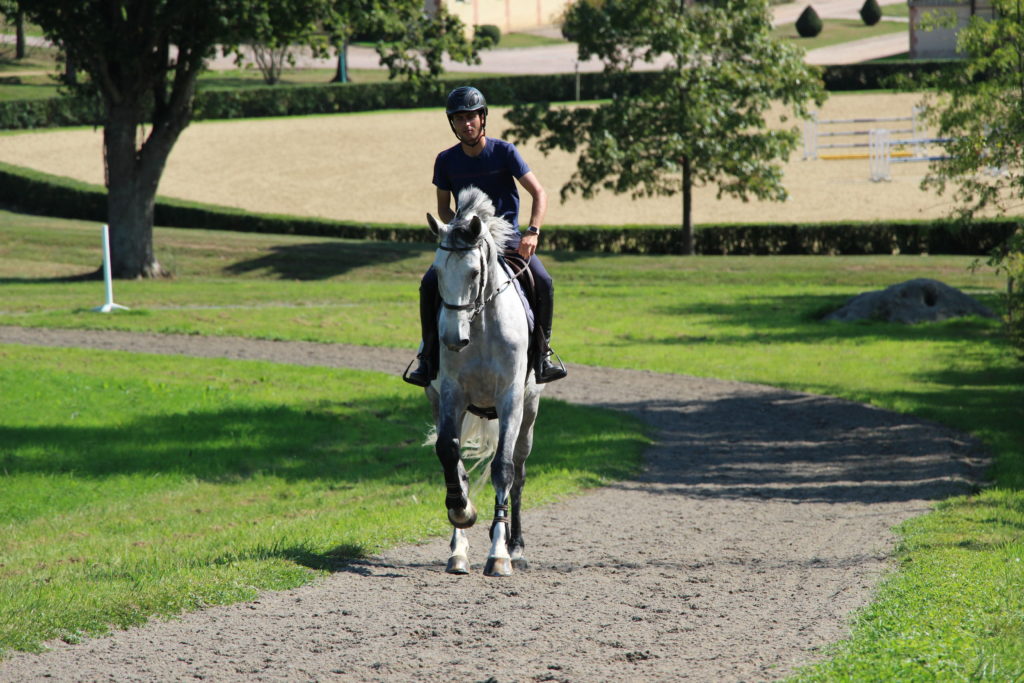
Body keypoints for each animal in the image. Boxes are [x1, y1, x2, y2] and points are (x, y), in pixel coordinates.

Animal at [421, 185, 544, 577]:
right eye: (437, 273)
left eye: (475, 272)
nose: (451, 339)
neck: (481, 327)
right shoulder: (450, 396)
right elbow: (449, 455)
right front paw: (461, 517)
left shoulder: (510, 400)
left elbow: (503, 469)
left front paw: (499, 554)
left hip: (529, 413)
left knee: (518, 471)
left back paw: (515, 545)